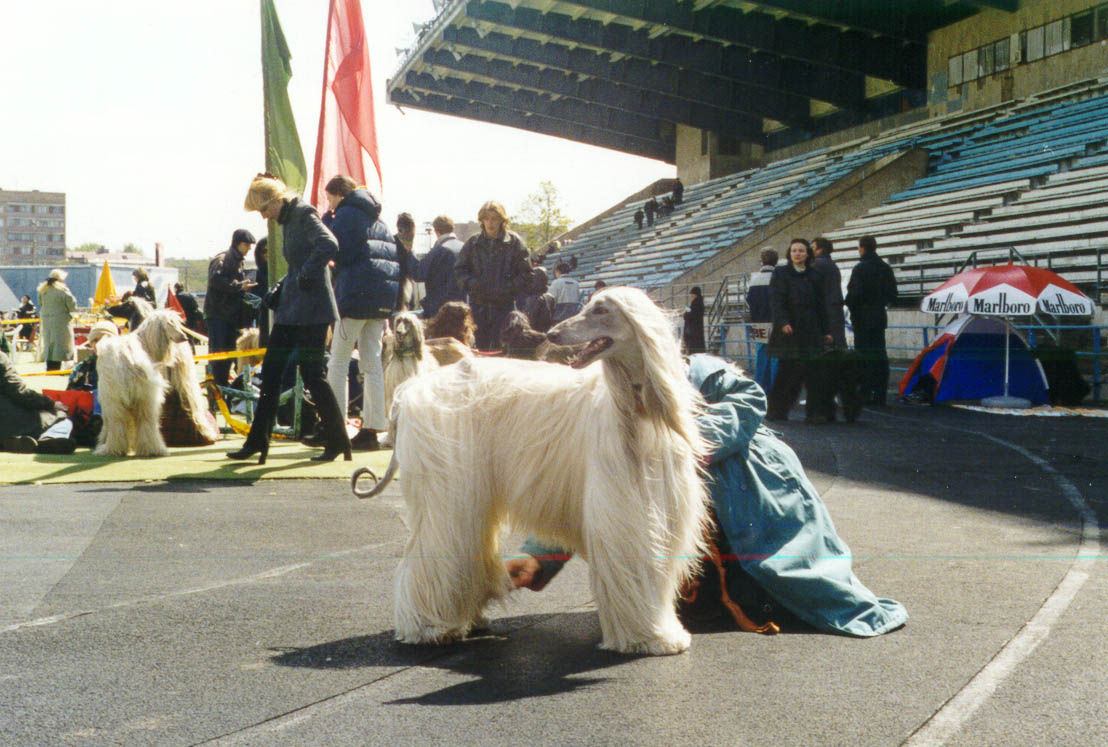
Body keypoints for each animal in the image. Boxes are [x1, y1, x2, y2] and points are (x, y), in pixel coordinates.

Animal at [354, 285, 709, 651]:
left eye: (601, 310)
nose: (553, 333)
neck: (639, 409)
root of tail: (411, 391)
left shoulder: (663, 502)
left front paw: (660, 631)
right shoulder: (620, 509)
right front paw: (647, 636)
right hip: (446, 487)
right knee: (434, 545)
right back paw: (428, 626)